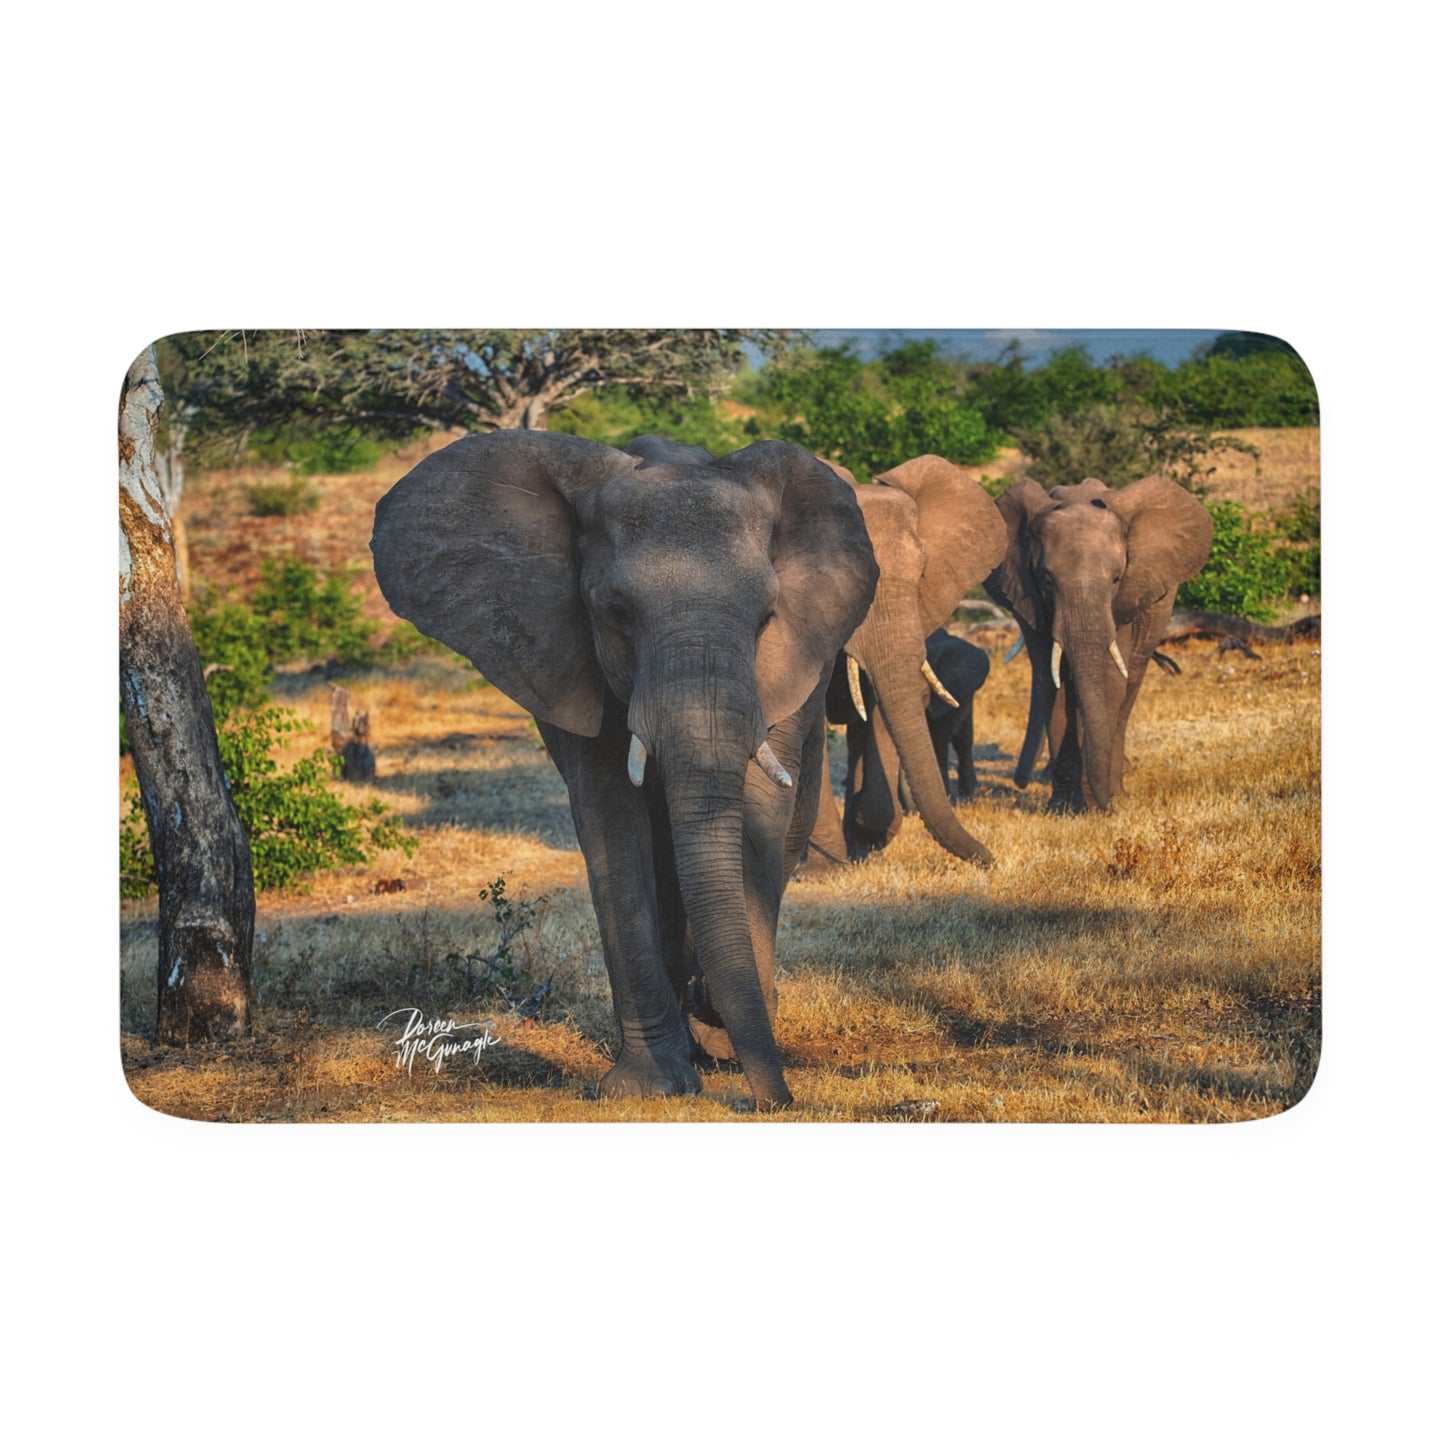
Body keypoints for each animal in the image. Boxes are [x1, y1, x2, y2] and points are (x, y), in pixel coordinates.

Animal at [371, 430, 878, 1110]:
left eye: (767, 617)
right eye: (615, 611)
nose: (777, 1103)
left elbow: (757, 809)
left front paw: (718, 1030)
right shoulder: (566, 657)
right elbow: (613, 821)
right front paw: (650, 1086)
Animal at [984, 475, 1212, 813]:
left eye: (1116, 579)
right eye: (1046, 580)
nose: (1019, 782)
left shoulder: (1126, 598)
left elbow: (1108, 679)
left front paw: (1099, 804)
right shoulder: (1028, 596)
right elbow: (1053, 682)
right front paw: (1062, 809)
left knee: (1130, 686)